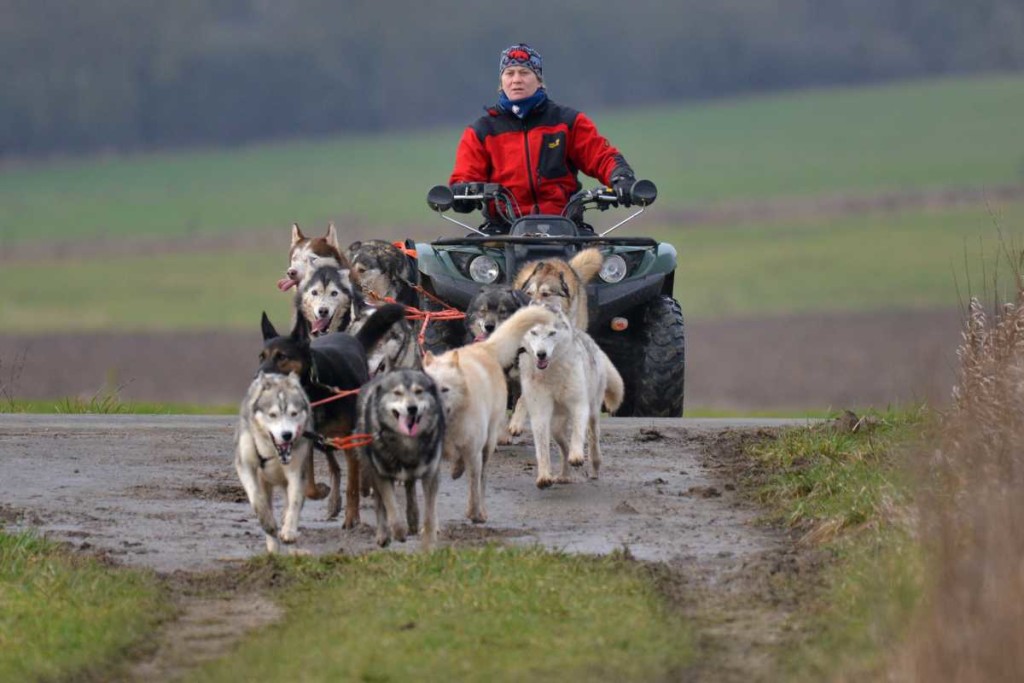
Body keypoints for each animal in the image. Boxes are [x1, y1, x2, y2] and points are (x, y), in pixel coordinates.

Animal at [258, 303, 405, 528]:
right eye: (261, 356)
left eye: (282, 356)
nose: (258, 378)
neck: (312, 388)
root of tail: (350, 337)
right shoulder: (305, 441)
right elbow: (309, 485)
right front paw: (321, 491)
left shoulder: (349, 440)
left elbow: (352, 485)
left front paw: (352, 518)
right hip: (324, 440)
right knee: (334, 466)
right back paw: (334, 501)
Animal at [356, 368, 444, 548]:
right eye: (397, 393)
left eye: (419, 391)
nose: (412, 408)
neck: (407, 443)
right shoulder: (382, 474)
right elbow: (391, 507)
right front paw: (398, 532)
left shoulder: (430, 475)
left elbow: (430, 515)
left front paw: (429, 543)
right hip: (370, 469)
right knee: (380, 504)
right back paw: (383, 534)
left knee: (410, 489)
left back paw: (413, 518)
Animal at [421, 305, 557, 524]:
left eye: (444, 389)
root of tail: (484, 348)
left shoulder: (475, 454)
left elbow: (475, 486)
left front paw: (475, 513)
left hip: (488, 443)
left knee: (482, 477)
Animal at [520, 307, 622, 489]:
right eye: (534, 332)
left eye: (552, 333)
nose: (541, 354)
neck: (552, 372)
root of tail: (587, 336)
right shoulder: (539, 414)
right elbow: (542, 449)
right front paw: (544, 476)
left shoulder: (579, 405)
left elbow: (577, 435)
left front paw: (577, 456)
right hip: (556, 428)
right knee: (563, 448)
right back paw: (564, 475)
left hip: (593, 414)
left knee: (593, 440)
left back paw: (593, 468)